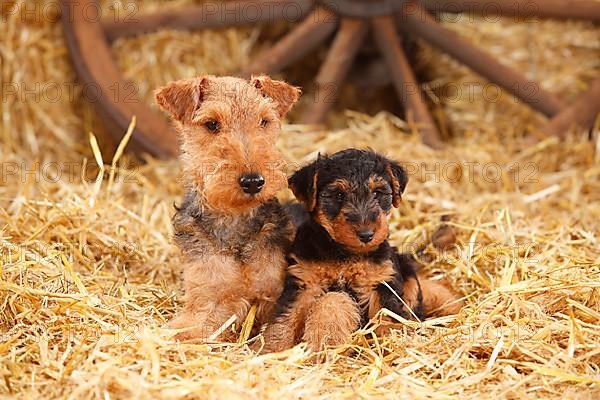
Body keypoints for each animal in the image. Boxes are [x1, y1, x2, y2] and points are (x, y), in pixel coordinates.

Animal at [156, 75, 300, 340]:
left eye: (264, 121)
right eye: (212, 124)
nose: (253, 181)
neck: (234, 220)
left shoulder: (272, 293)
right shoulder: (206, 298)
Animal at [262, 148, 460, 352]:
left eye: (378, 192)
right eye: (338, 195)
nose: (366, 234)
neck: (345, 254)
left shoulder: (382, 282)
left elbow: (386, 319)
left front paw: (390, 346)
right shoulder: (304, 282)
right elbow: (285, 319)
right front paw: (271, 349)